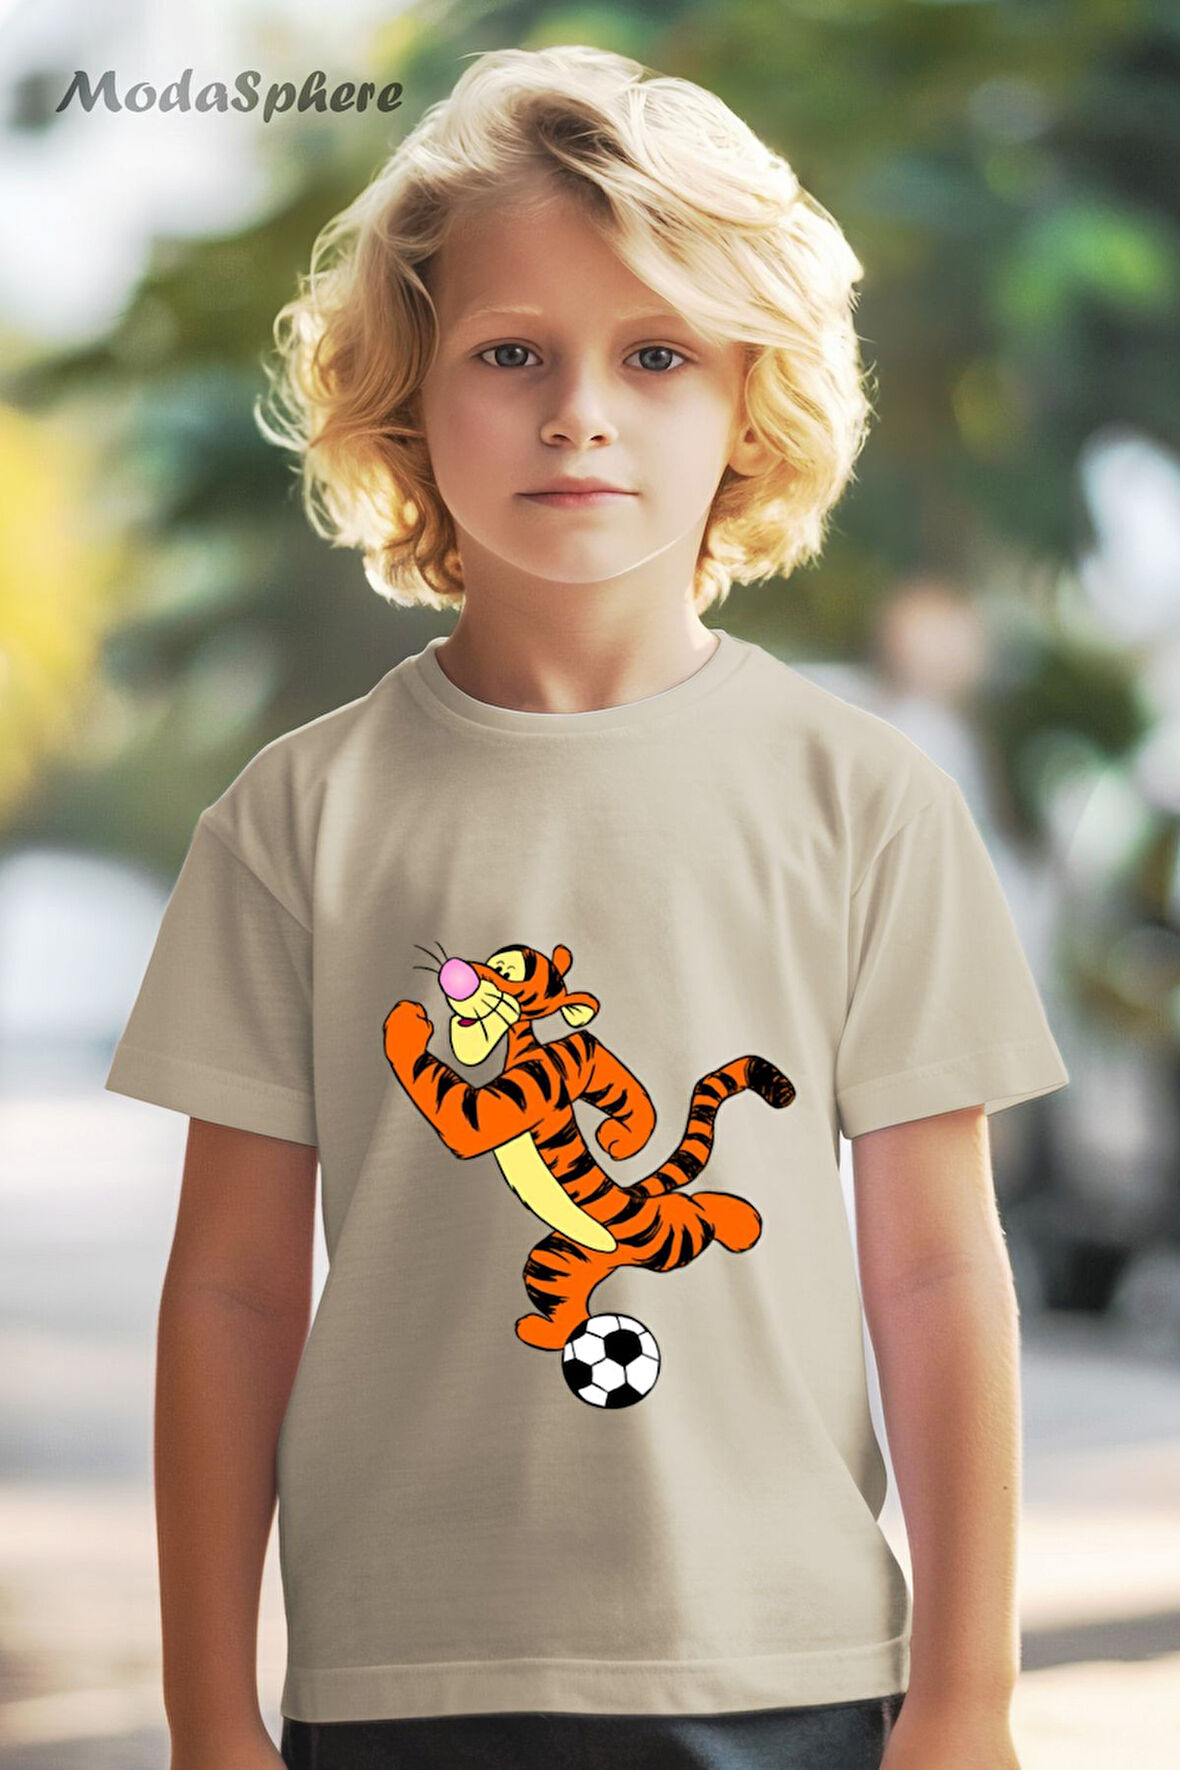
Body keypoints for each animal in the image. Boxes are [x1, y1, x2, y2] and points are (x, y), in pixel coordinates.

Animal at [383, 940, 796, 1352]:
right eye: (494, 960)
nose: (453, 968)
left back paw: (743, 1224)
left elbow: (433, 1082)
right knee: (573, 1313)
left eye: (506, 972)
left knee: (701, 1210)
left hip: (671, 1238)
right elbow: (619, 1083)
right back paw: (539, 1332)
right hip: (555, 1261)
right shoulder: (581, 1057)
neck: (520, 1049)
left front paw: (405, 1022)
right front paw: (626, 1137)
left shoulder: (495, 1108)